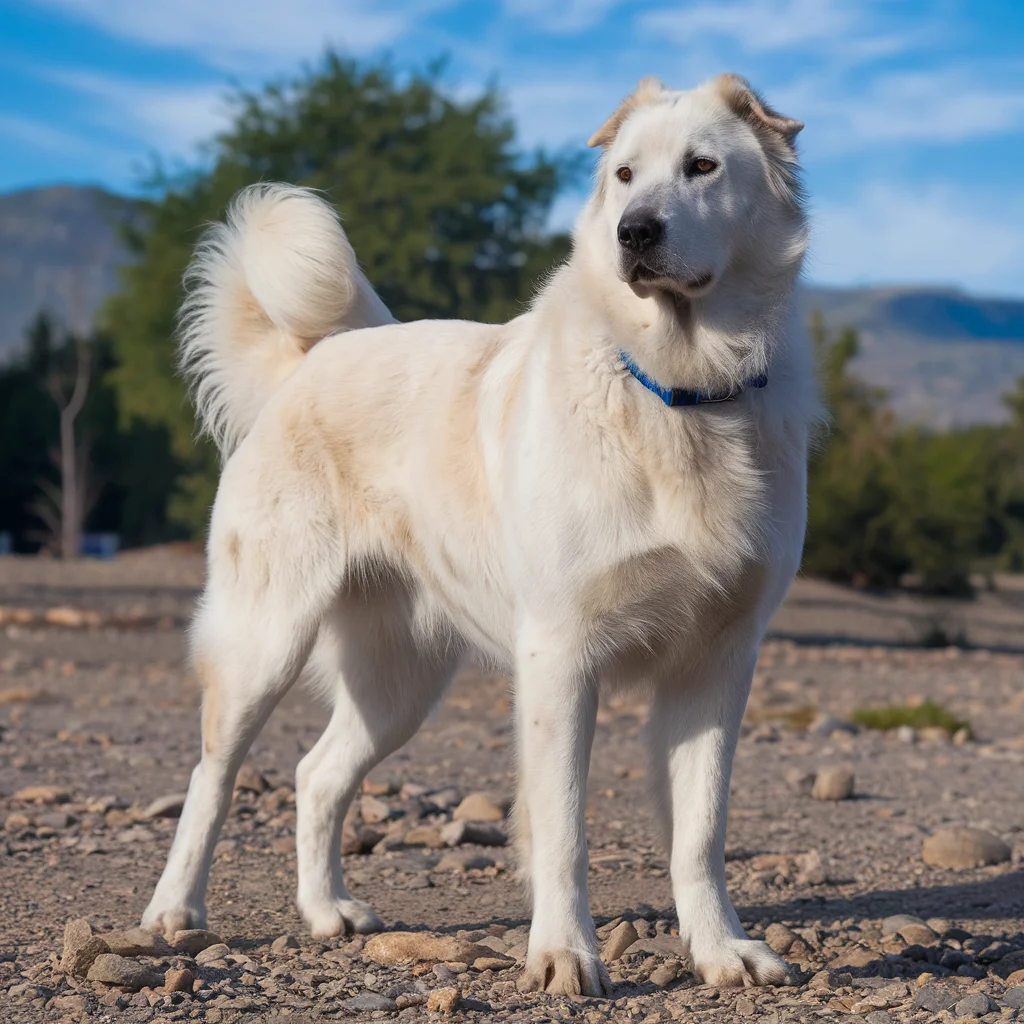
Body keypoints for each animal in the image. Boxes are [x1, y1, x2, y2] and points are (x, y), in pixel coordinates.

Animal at [142, 70, 815, 991]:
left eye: (703, 166)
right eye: (625, 177)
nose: (634, 232)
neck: (676, 391)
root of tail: (307, 364)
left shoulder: (718, 663)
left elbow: (699, 835)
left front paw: (721, 951)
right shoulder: (560, 658)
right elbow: (563, 831)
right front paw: (563, 955)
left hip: (400, 683)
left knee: (317, 777)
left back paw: (326, 912)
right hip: (263, 644)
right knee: (213, 777)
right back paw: (174, 912)